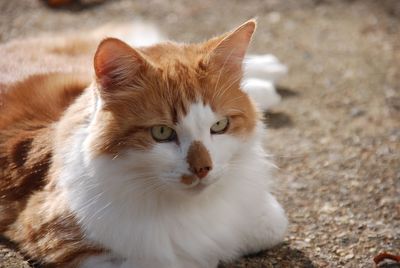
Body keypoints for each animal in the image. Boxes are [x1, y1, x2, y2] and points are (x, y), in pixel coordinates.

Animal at [0, 19, 288, 268]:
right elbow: (177, 259)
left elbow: (270, 225)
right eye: (161, 132)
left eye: (219, 126)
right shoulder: (62, 242)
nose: (203, 169)